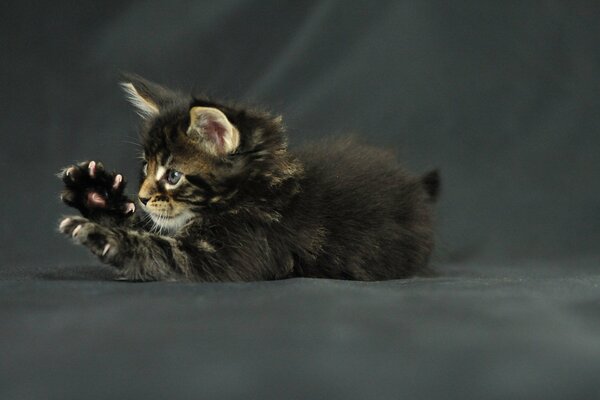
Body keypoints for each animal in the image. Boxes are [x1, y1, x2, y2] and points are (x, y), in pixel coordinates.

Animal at [57, 75, 440, 282]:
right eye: (145, 168)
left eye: (173, 175)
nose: (143, 196)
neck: (259, 188)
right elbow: (147, 226)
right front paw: (94, 192)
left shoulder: (223, 256)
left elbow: (155, 250)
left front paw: (102, 235)